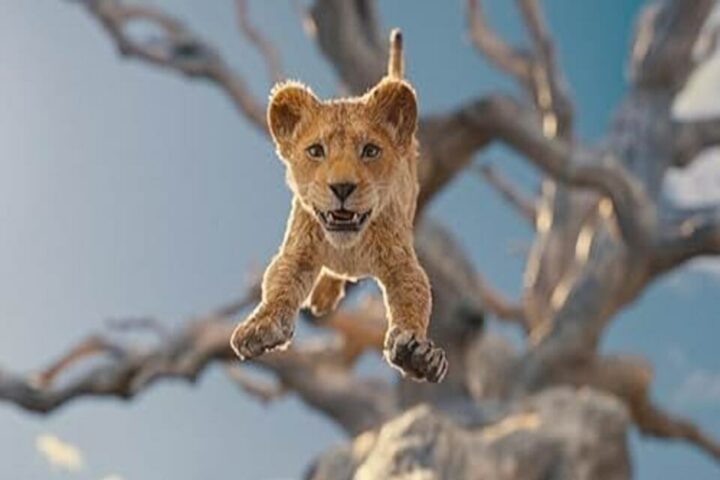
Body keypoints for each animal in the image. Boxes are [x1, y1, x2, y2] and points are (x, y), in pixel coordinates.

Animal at [230, 29, 448, 383]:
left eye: (370, 151)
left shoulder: (401, 262)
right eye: (316, 151)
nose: (342, 187)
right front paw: (260, 327)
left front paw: (419, 354)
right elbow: (278, 284)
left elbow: (414, 298)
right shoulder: (298, 250)